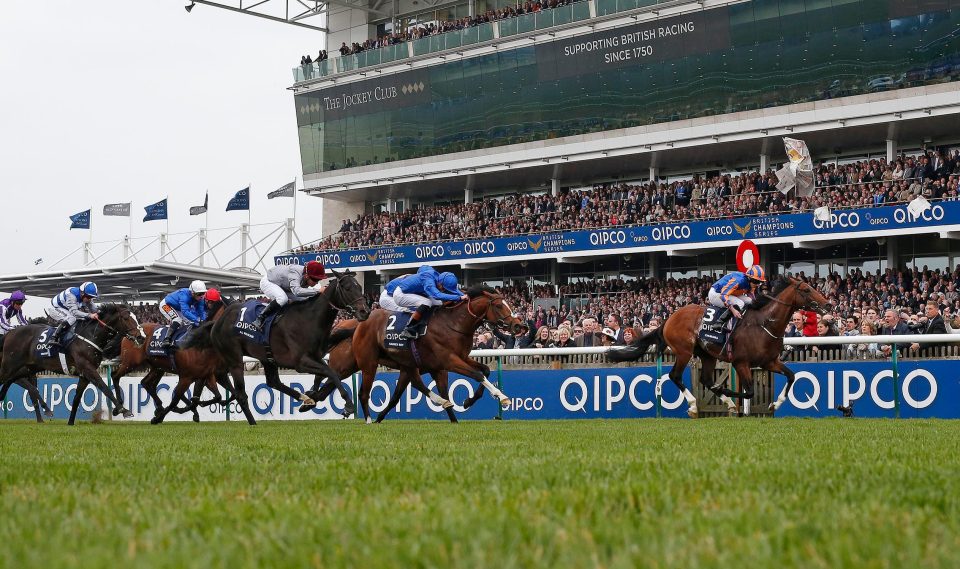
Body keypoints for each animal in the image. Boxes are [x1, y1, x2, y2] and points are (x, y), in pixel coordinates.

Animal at [0, 306, 146, 422]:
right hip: (11, 365)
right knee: (8, 379)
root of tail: (9, 333)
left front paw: (70, 423)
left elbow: (76, 399)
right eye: (126, 318)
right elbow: (104, 387)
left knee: (14, 381)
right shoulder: (88, 368)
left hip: (29, 367)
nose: (142, 337)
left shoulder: (84, 374)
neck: (91, 336)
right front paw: (123, 410)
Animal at [199, 268, 372, 424]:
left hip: (266, 357)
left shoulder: (317, 355)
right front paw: (348, 404)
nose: (365, 311)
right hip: (234, 358)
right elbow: (332, 373)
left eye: (359, 287)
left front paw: (312, 394)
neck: (309, 319)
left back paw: (306, 399)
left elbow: (327, 372)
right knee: (240, 392)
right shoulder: (301, 362)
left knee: (272, 382)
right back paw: (253, 423)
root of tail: (218, 321)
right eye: (347, 288)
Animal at [312, 284, 524, 422]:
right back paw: (366, 419)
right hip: (366, 363)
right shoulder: (448, 361)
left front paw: (468, 401)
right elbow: (477, 374)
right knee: (361, 392)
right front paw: (502, 397)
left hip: (395, 365)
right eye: (499, 305)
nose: (518, 325)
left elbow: (484, 371)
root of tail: (358, 324)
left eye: (508, 303)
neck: (454, 323)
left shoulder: (458, 358)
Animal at [612, 278, 828, 418]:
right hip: (684, 351)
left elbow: (792, 376)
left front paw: (775, 403)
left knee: (706, 379)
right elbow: (749, 392)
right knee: (675, 376)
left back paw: (725, 403)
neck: (765, 324)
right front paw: (726, 392)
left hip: (707, 354)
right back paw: (694, 406)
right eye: (806, 290)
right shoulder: (741, 362)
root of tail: (669, 318)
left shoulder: (769, 362)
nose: (828, 303)